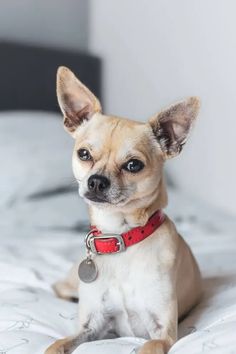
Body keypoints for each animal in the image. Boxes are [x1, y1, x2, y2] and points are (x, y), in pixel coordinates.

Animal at [45, 67, 202, 354]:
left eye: (133, 165)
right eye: (84, 154)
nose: (96, 181)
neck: (119, 236)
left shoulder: (162, 334)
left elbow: (148, 347)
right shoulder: (90, 327)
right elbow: (55, 345)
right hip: (72, 281)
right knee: (59, 287)